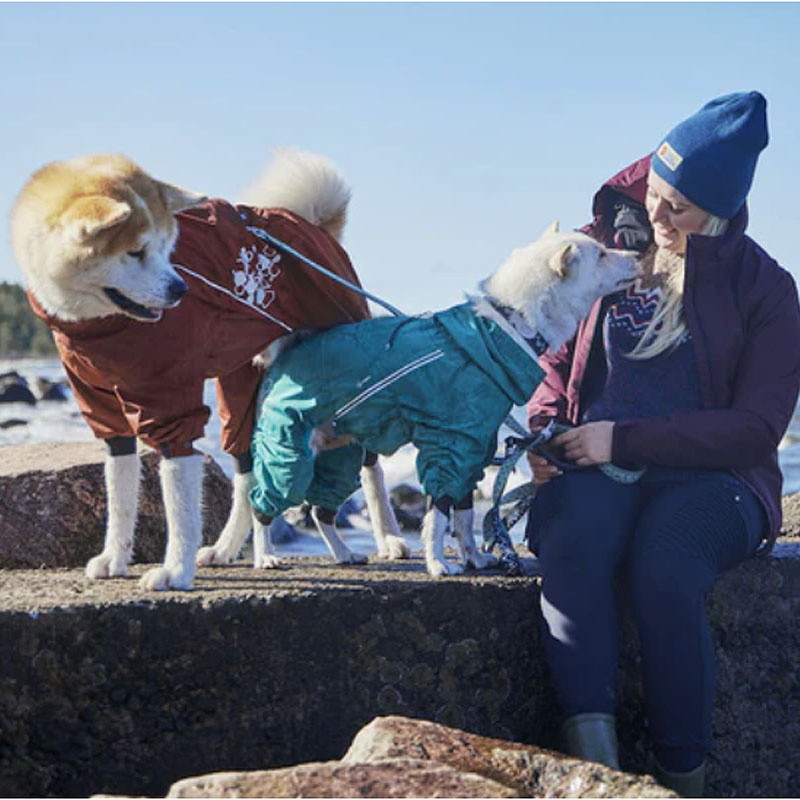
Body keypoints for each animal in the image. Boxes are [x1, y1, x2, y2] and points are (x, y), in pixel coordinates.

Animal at [11, 150, 410, 592]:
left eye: (167, 248)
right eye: (136, 252)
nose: (180, 290)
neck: (100, 324)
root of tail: (314, 226)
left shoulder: (168, 403)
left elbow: (180, 505)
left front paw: (175, 571)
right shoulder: (104, 411)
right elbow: (120, 495)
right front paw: (116, 558)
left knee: (371, 466)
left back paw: (388, 539)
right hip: (245, 390)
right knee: (247, 472)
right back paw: (228, 548)